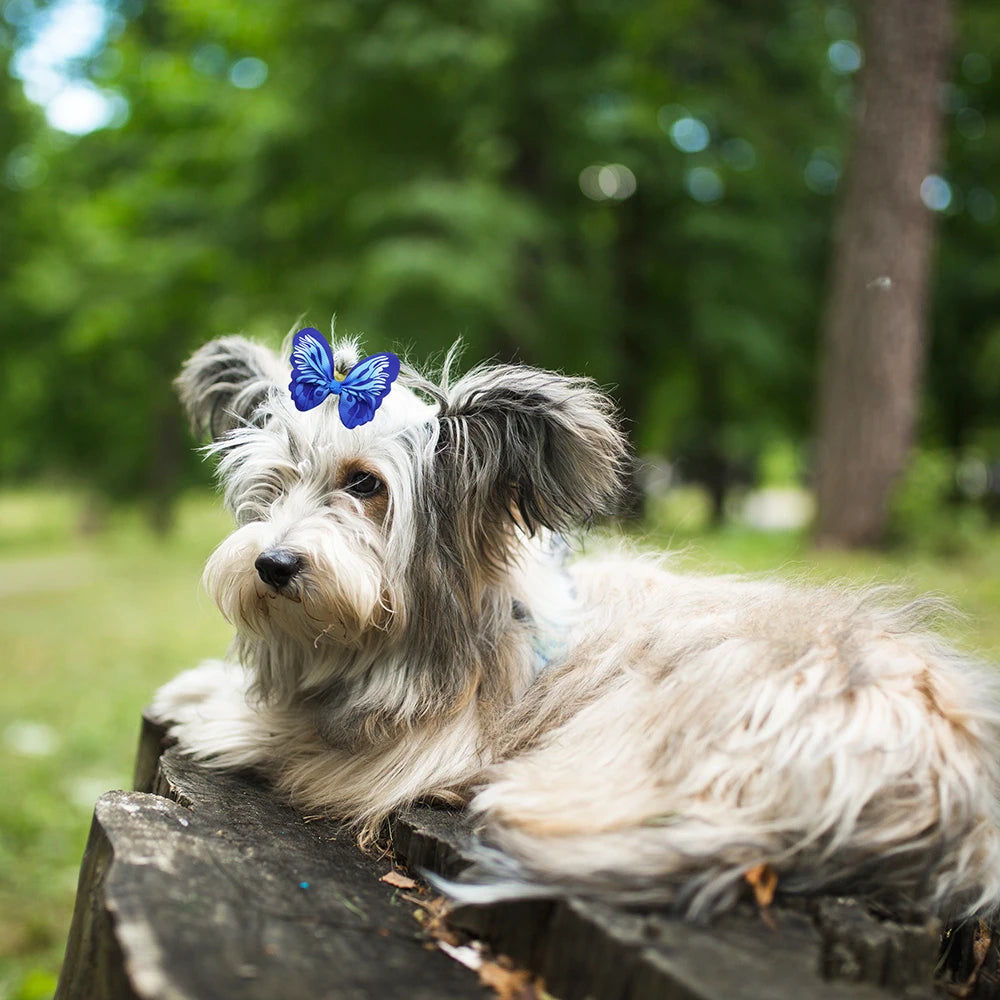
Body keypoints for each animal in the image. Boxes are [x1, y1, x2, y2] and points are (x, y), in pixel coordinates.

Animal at [152, 334, 1000, 920]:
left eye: (364, 485)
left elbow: (295, 737)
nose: (273, 565)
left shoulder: (419, 748)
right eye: (271, 485)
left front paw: (213, 711)